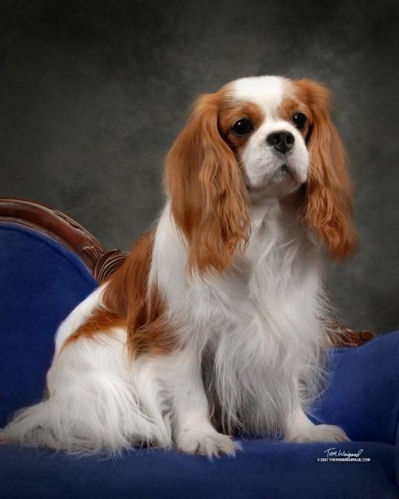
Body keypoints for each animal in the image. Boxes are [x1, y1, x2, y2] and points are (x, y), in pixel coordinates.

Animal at [0, 75, 356, 458]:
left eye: (299, 119)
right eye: (242, 126)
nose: (282, 138)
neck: (262, 225)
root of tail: (55, 395)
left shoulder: (284, 320)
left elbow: (286, 382)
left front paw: (302, 430)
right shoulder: (178, 331)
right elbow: (190, 391)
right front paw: (201, 436)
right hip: (109, 340)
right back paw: (139, 430)